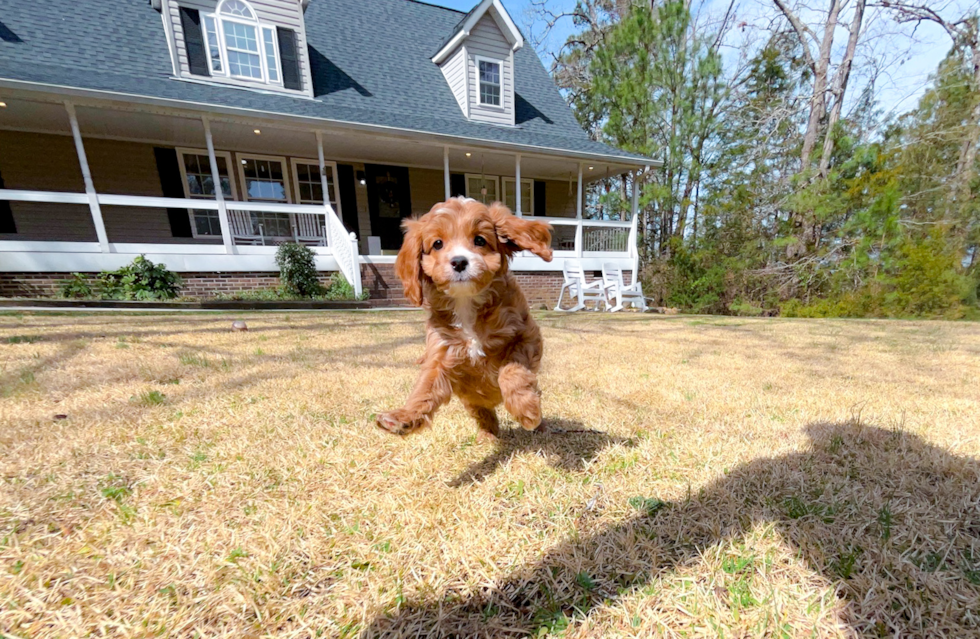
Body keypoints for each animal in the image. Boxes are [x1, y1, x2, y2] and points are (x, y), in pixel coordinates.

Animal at [376, 198, 556, 440]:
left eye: (479, 240)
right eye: (438, 244)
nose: (459, 262)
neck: (466, 303)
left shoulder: (526, 335)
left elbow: (512, 371)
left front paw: (525, 409)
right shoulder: (441, 352)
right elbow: (425, 388)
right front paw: (402, 417)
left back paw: (540, 425)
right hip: (472, 402)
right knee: (482, 411)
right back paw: (487, 434)